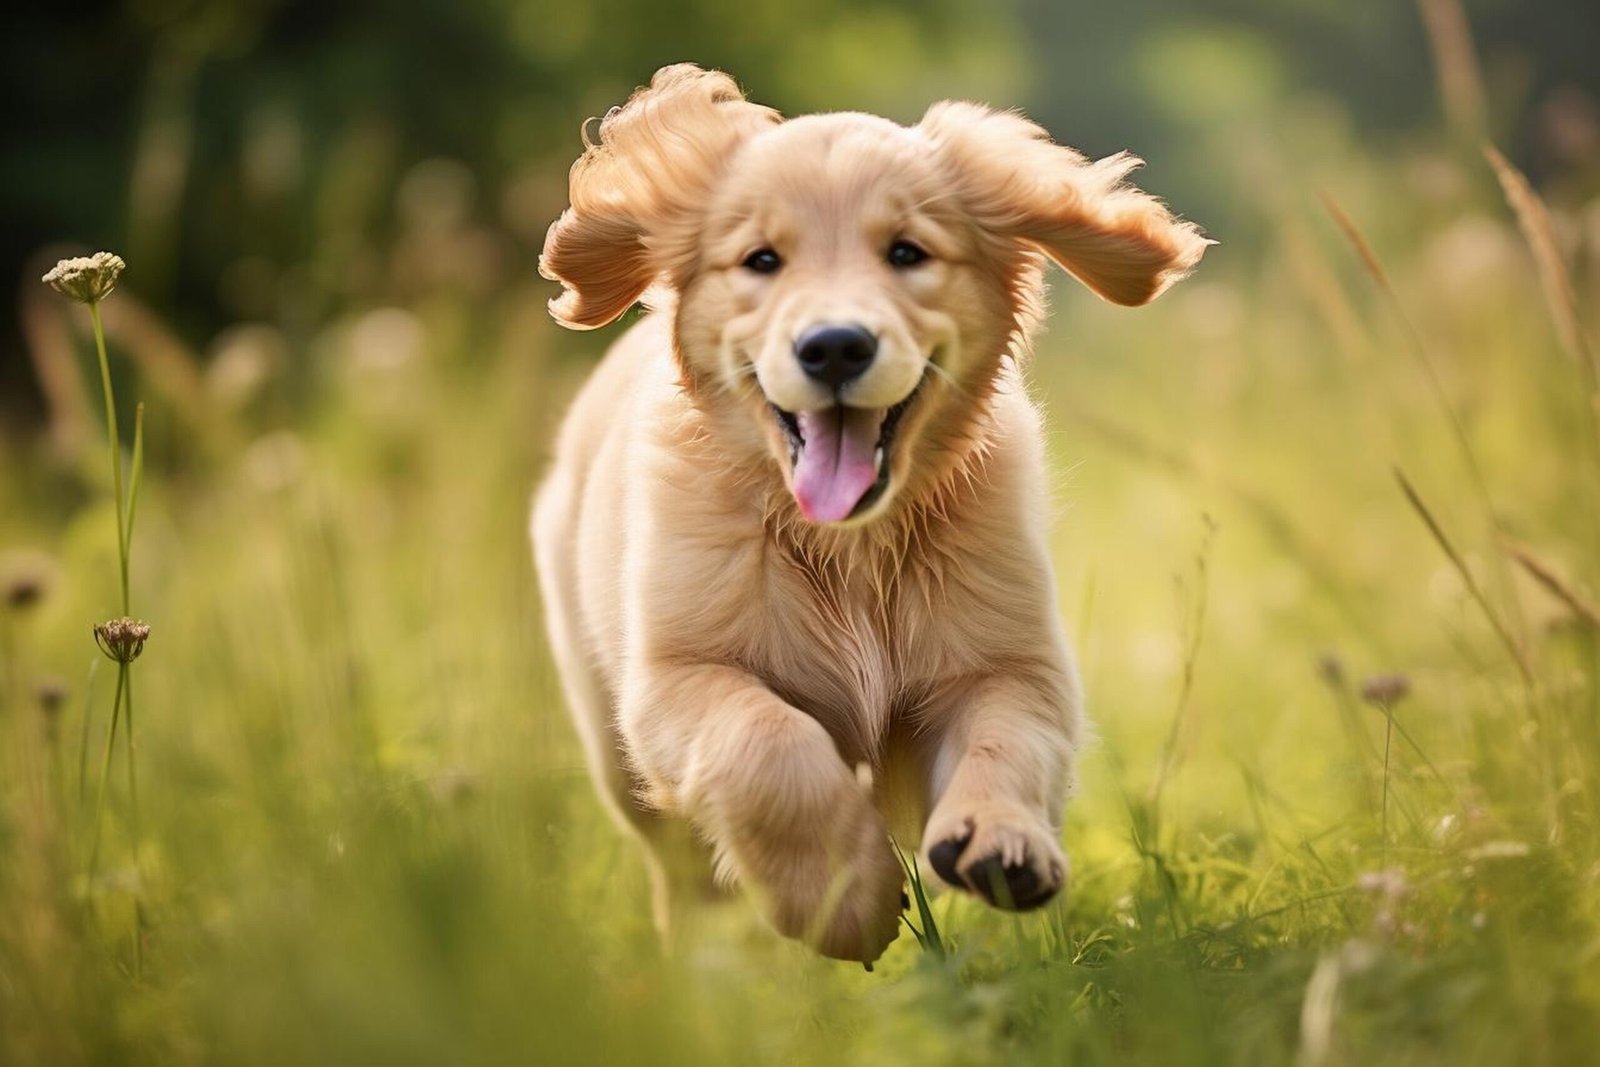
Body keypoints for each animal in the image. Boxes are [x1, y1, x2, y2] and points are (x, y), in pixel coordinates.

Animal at [531, 62, 1203, 966]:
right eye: (762, 260)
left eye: (907, 253)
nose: (836, 346)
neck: (849, 542)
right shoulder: (676, 671)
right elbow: (765, 743)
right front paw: (844, 900)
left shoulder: (1010, 657)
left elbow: (1008, 736)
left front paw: (1001, 840)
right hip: (614, 748)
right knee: (682, 873)